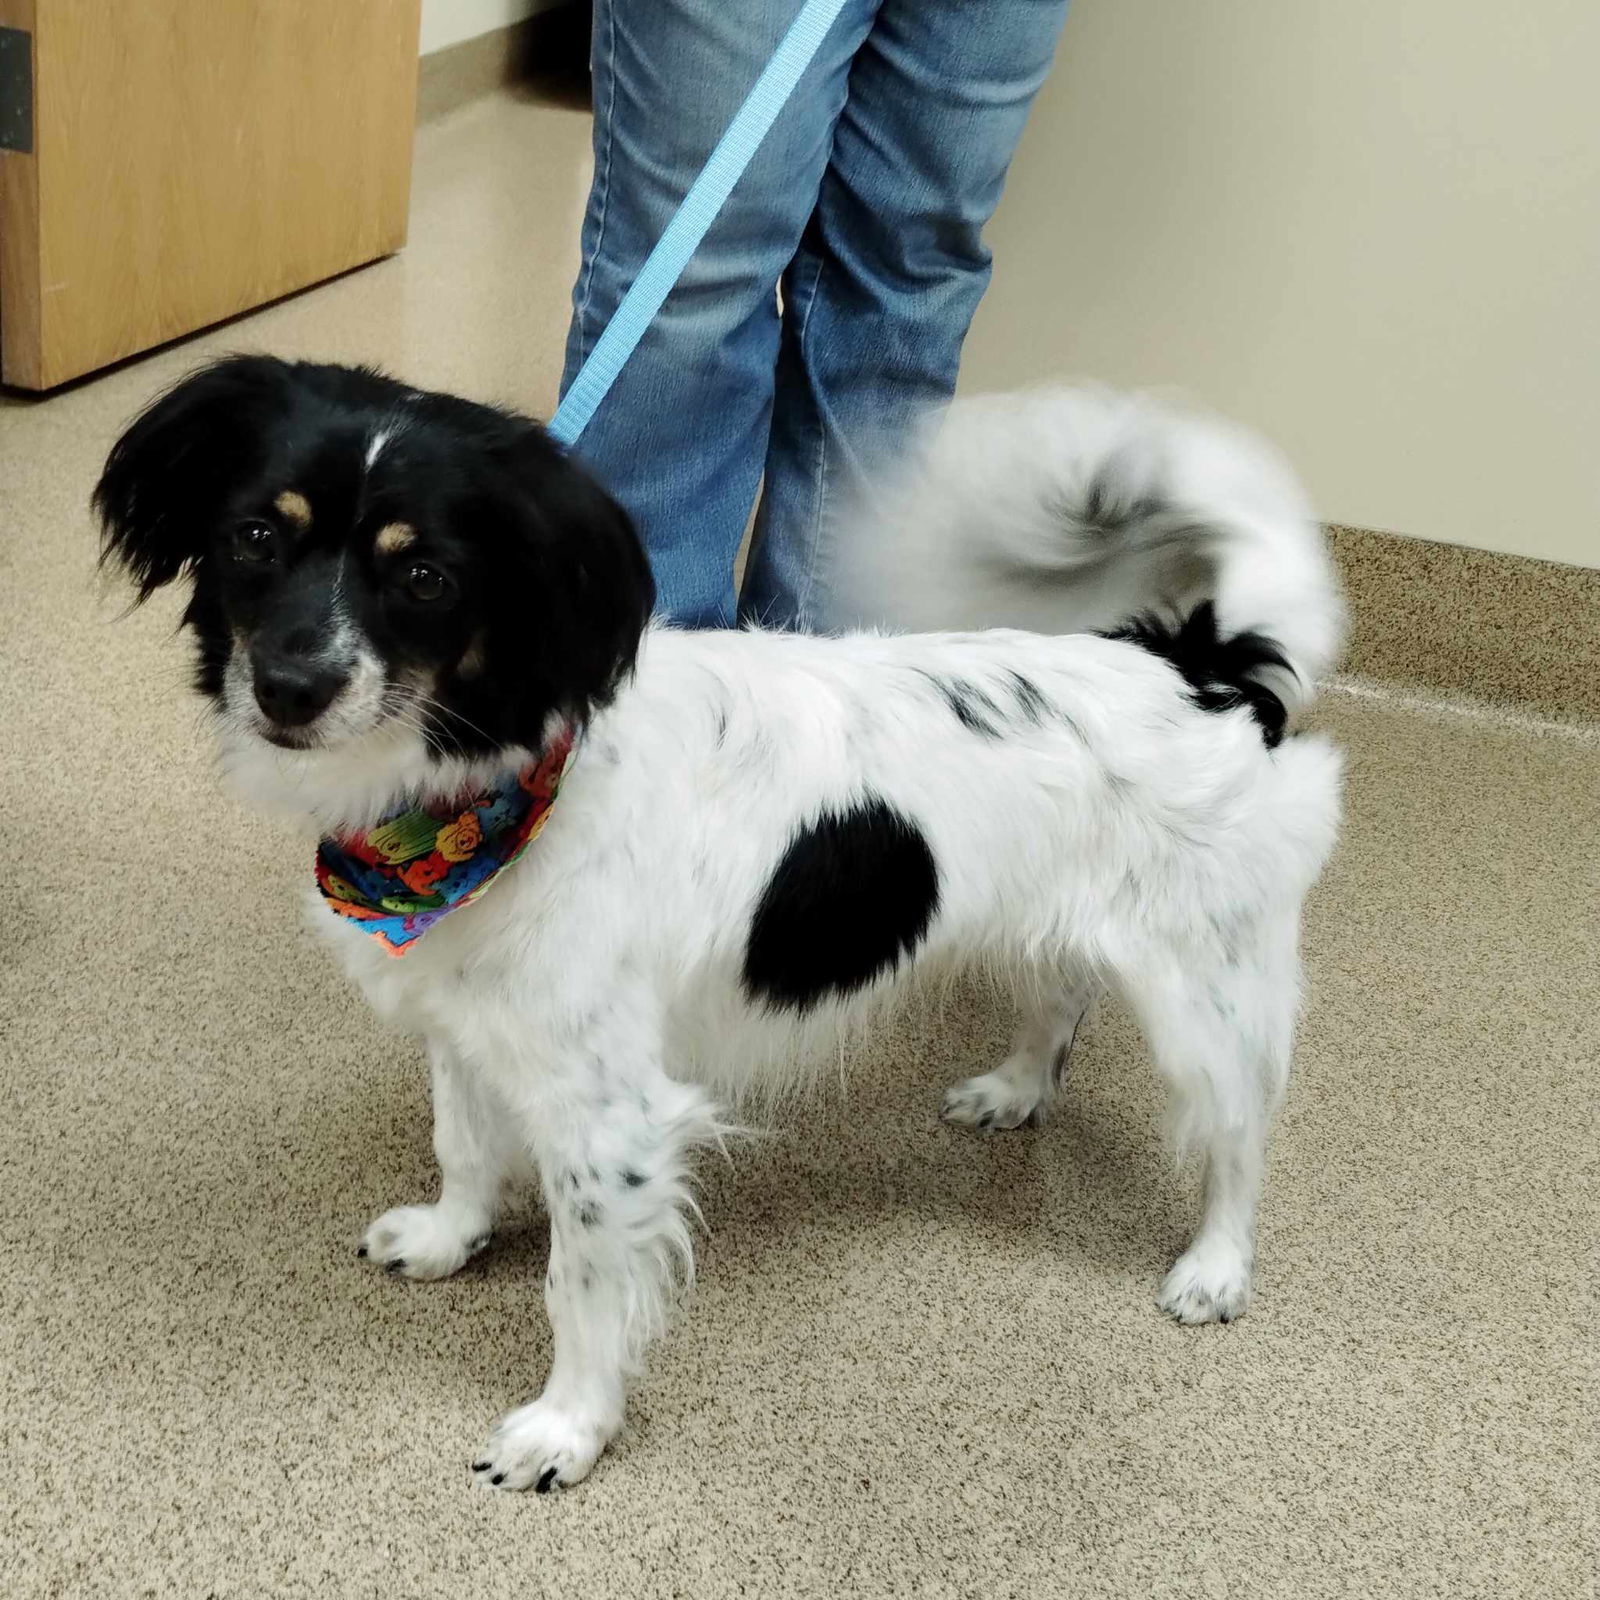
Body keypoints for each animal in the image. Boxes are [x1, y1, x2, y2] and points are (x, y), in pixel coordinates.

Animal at [96, 356, 1337, 1491]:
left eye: (427, 576)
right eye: (257, 535)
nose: (289, 687)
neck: (486, 792)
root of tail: (1200, 658)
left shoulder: (613, 1115)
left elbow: (583, 1282)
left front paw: (568, 1428)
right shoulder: (472, 1021)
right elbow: (464, 1142)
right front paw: (452, 1237)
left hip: (1209, 996)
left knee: (1240, 1133)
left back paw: (1217, 1265)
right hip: (1051, 926)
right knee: (1060, 999)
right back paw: (1016, 1089)